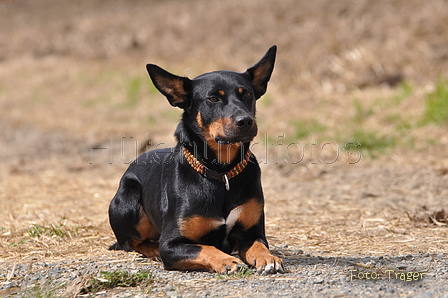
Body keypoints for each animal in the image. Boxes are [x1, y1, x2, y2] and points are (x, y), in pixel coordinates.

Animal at [109, 46, 284, 274]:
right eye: (213, 99)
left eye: (247, 94)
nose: (245, 121)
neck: (221, 172)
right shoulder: (172, 243)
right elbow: (205, 248)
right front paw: (227, 261)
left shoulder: (252, 233)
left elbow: (259, 245)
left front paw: (269, 258)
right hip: (129, 201)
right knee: (131, 242)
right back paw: (152, 249)